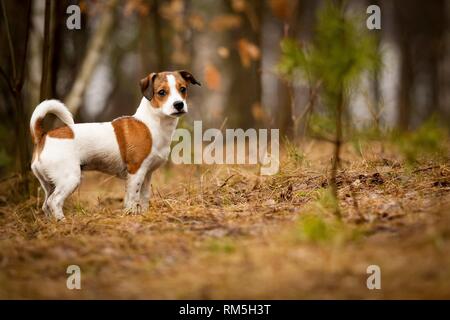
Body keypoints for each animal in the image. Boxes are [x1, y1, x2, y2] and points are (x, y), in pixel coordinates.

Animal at [29, 70, 200, 220]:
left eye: (183, 89)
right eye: (162, 92)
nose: (179, 104)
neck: (150, 124)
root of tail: (43, 136)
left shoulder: (147, 174)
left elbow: (144, 198)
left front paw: (143, 214)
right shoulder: (136, 172)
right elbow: (132, 199)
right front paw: (132, 215)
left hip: (49, 184)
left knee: (46, 204)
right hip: (70, 178)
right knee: (54, 202)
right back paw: (62, 221)